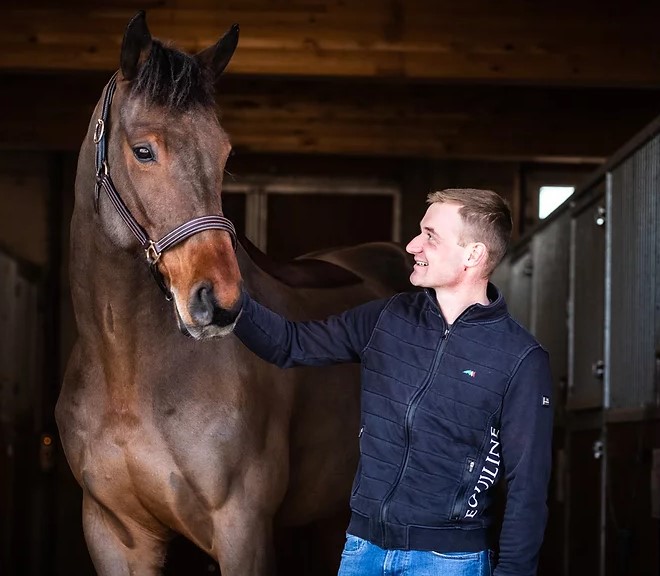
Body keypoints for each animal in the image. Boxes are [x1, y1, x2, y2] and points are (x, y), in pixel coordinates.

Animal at [56, 10, 410, 576]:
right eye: (143, 150)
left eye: (224, 154)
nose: (219, 302)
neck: (127, 373)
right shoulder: (113, 532)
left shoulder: (242, 530)